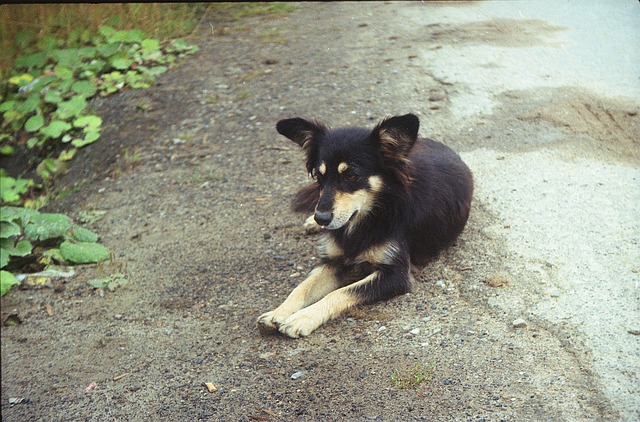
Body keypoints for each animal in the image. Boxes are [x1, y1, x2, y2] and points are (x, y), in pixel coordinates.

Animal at [258, 113, 472, 338]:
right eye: (319, 176)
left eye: (351, 175)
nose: (321, 218)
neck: (372, 215)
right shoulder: (331, 262)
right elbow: (302, 287)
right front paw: (278, 312)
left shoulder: (396, 275)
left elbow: (339, 292)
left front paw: (302, 318)